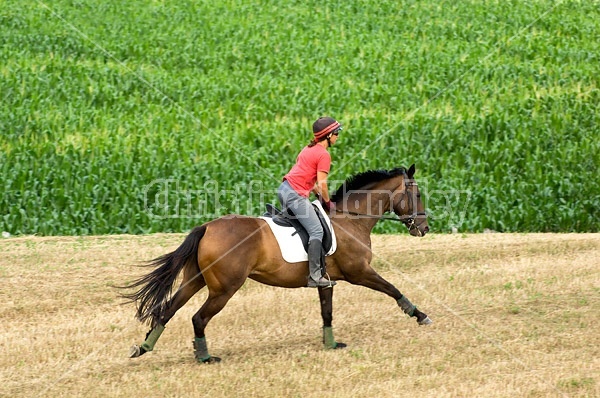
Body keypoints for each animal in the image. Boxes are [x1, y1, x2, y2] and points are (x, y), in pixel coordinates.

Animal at [123, 163, 432, 362]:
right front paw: (419, 314)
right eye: (417, 195)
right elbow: (392, 288)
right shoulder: (359, 272)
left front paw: (331, 344)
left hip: (194, 279)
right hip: (224, 288)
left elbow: (327, 312)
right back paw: (204, 357)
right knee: (198, 318)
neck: (350, 218)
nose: (424, 228)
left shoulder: (327, 281)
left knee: (167, 310)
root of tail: (207, 227)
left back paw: (144, 347)